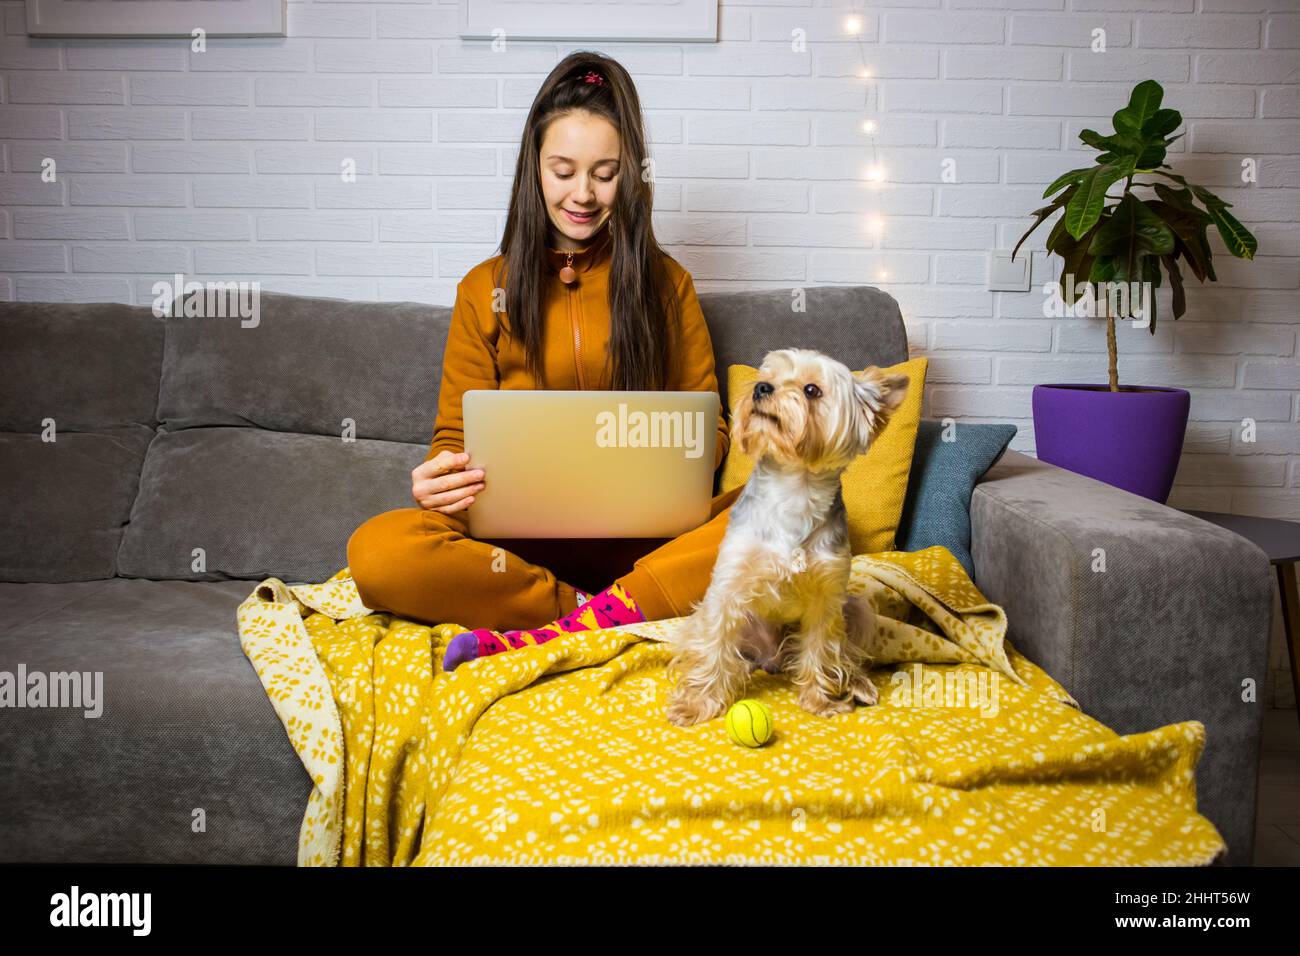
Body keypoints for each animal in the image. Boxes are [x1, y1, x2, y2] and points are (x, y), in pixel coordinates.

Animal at [665, 348, 909, 728]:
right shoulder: (727, 587)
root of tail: (772, 658)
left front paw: (819, 700)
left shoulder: (827, 596)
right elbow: (714, 647)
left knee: (845, 654)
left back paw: (858, 684)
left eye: (812, 390)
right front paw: (697, 704)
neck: (794, 488)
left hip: (857, 611)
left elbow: (821, 649)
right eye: (767, 376)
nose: (761, 388)